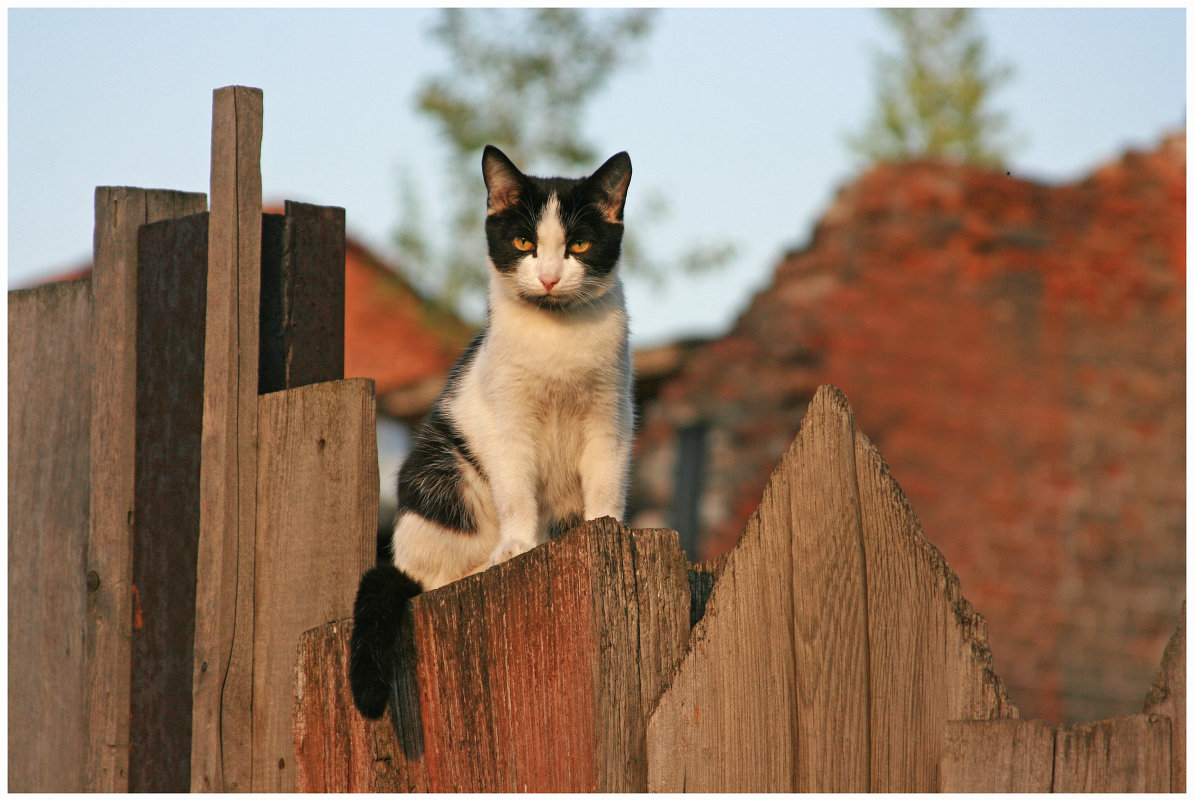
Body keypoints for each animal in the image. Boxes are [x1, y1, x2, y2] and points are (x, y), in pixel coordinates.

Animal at [348, 145, 635, 721]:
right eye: (524, 243)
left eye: (579, 244)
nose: (548, 277)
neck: (557, 337)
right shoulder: (510, 425)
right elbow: (517, 492)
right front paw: (518, 545)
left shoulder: (611, 416)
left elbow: (606, 482)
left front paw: (607, 525)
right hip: (440, 473)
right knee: (433, 578)